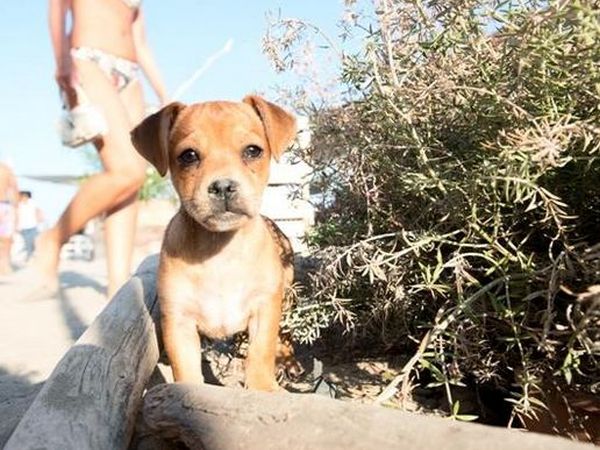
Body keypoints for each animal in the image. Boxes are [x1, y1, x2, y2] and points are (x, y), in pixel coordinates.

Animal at [134, 95, 298, 390]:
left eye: (253, 151)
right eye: (188, 156)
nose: (223, 186)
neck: (221, 251)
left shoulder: (265, 309)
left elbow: (261, 353)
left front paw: (263, 388)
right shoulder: (179, 322)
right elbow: (187, 372)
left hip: (287, 294)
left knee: (286, 333)